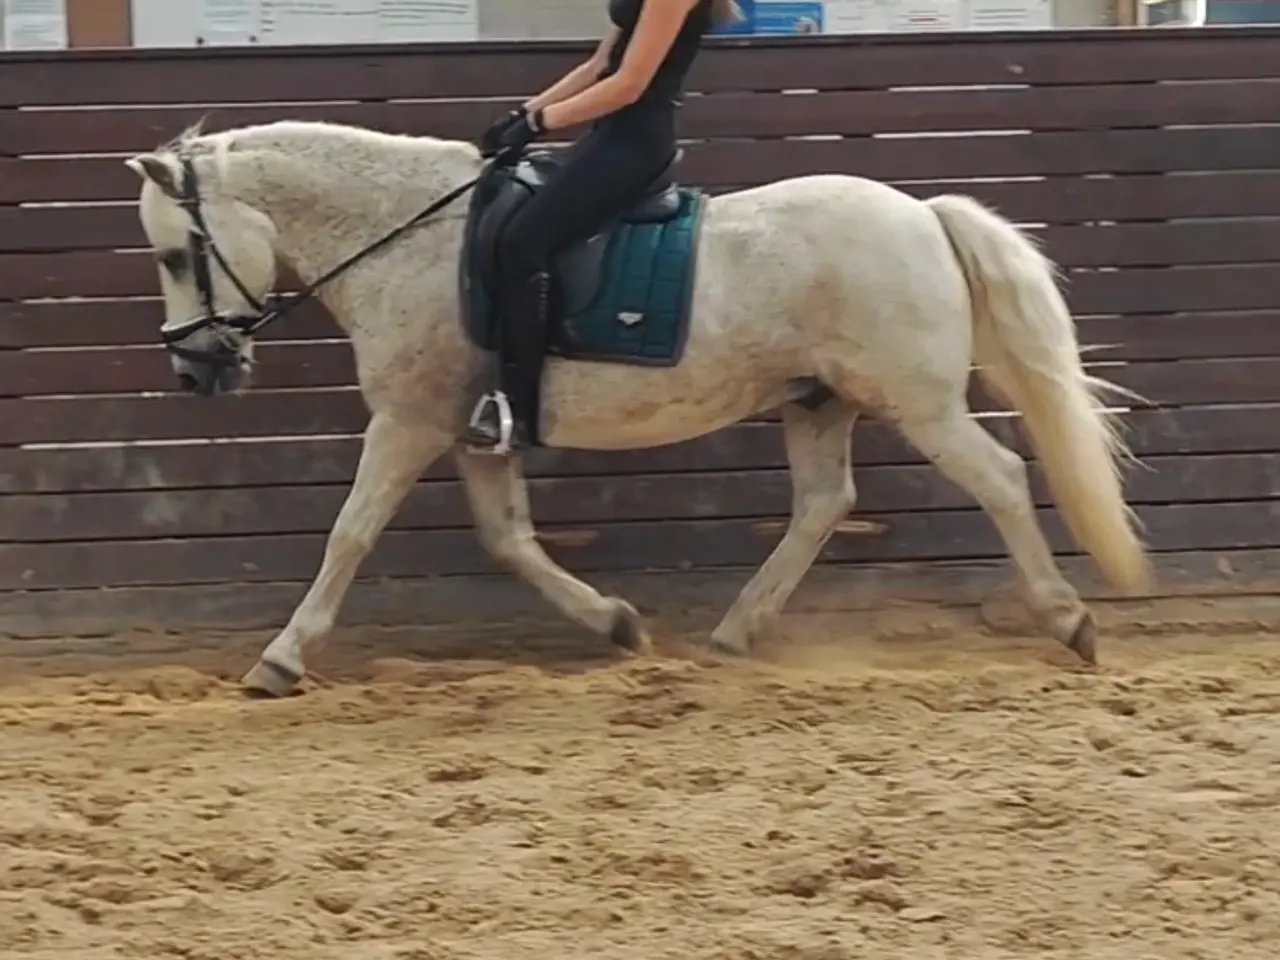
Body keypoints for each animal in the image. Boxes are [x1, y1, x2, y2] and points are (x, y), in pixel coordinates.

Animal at [126, 119, 1152, 698]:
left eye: (178, 253)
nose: (197, 369)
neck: (408, 239)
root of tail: (923, 213)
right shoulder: (476, 434)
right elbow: (508, 541)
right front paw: (617, 624)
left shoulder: (410, 421)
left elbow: (349, 533)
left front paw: (280, 660)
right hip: (818, 402)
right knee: (825, 504)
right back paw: (736, 632)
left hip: (919, 403)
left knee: (1002, 478)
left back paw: (1070, 622)